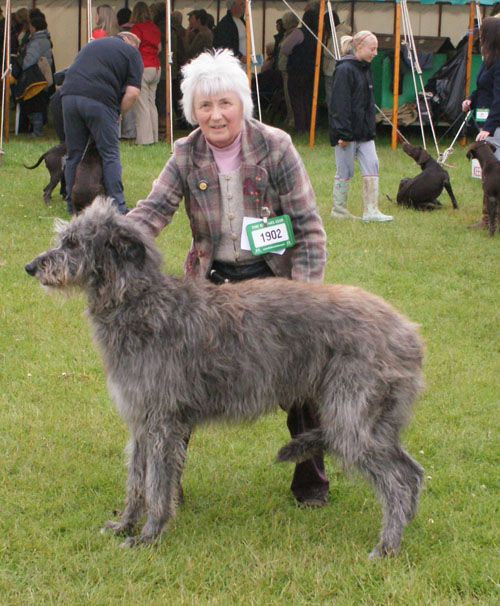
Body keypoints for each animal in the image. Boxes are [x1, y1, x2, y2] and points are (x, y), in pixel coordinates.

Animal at [25, 200, 424, 560]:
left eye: (72, 243)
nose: (30, 266)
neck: (140, 303)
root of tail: (409, 331)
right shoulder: (140, 421)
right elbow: (136, 480)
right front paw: (125, 524)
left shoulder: (162, 422)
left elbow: (155, 485)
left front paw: (149, 535)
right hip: (375, 419)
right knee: (413, 470)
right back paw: (403, 529)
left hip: (351, 417)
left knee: (398, 479)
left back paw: (387, 546)